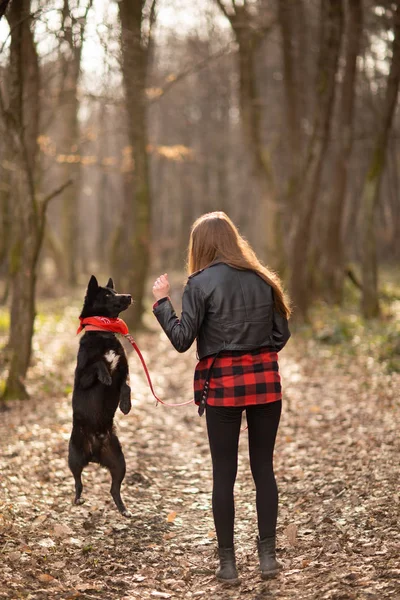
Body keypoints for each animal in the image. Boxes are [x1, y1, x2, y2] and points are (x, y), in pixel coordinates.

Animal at [68, 276, 132, 516]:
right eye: (107, 295)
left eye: (115, 291)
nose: (129, 296)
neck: (104, 332)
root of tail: (94, 454)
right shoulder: (82, 378)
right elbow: (97, 364)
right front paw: (104, 375)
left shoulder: (124, 372)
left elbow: (126, 387)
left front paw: (125, 405)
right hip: (74, 457)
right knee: (78, 482)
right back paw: (78, 499)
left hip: (119, 462)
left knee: (114, 489)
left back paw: (124, 510)